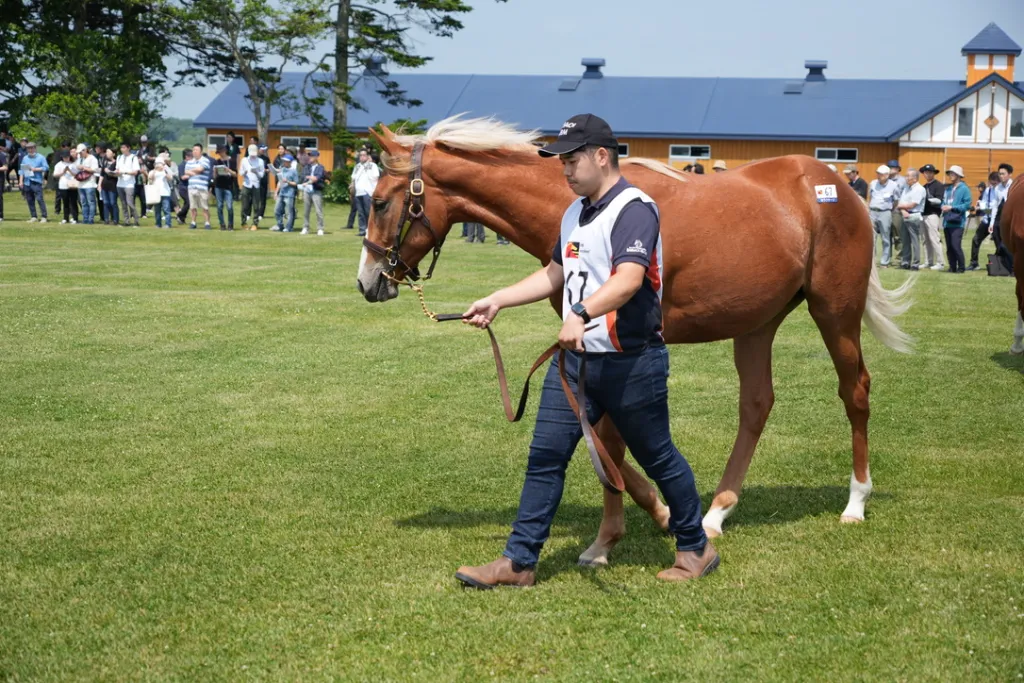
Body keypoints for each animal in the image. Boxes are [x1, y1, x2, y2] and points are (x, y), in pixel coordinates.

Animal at [356, 116, 915, 566]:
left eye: (380, 202)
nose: (367, 282)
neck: (579, 207)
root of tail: (836, 187)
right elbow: (603, 440)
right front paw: (656, 517)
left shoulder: (612, 349)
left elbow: (611, 440)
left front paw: (621, 535)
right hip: (757, 324)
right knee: (756, 404)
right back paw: (716, 513)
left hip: (835, 313)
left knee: (855, 392)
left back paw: (855, 502)